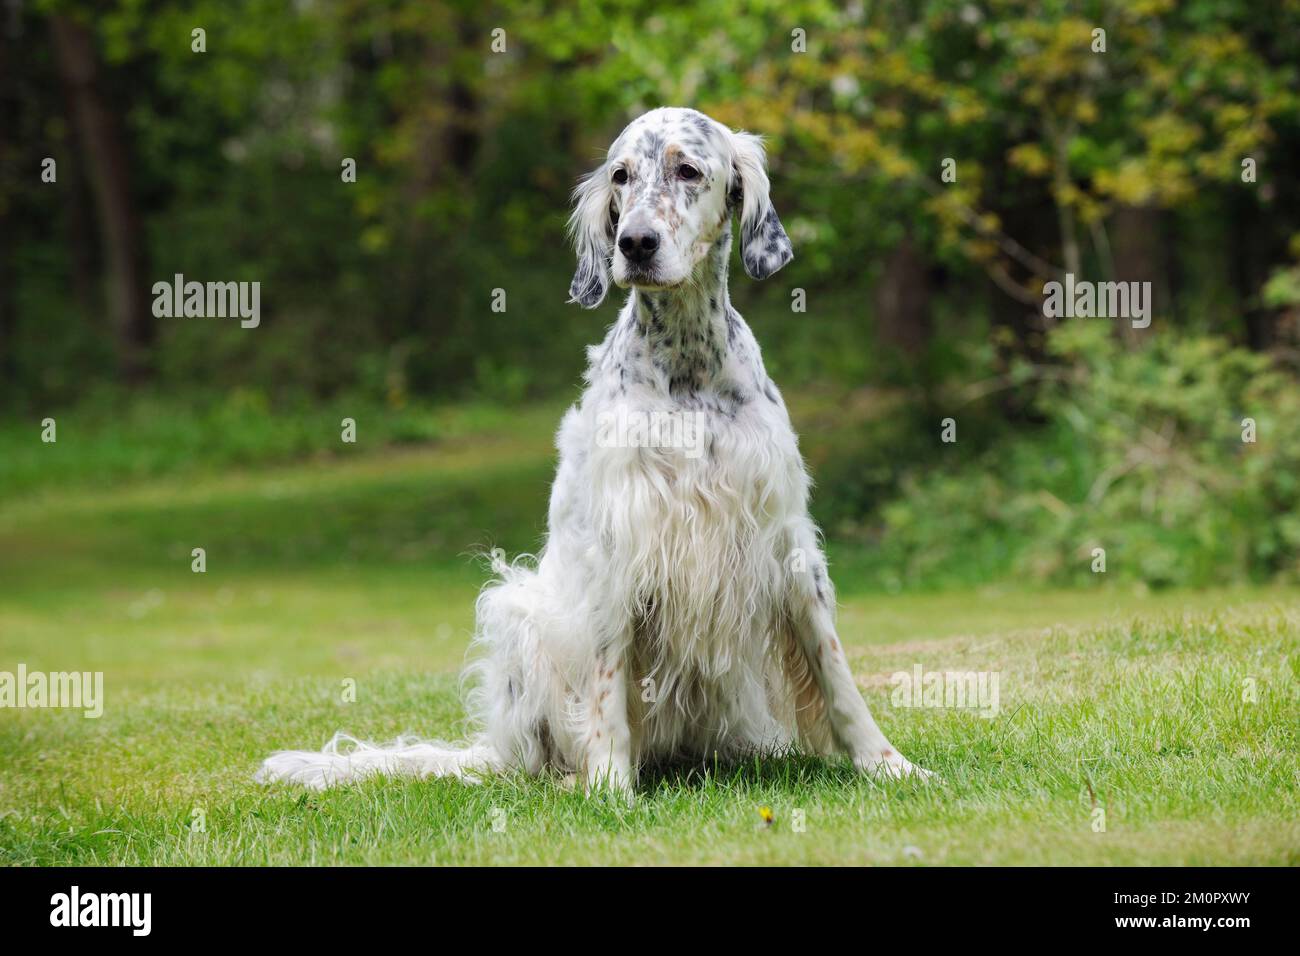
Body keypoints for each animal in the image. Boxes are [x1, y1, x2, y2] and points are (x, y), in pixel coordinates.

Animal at [256, 106, 925, 790]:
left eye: (689, 170)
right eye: (621, 176)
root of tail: (495, 749)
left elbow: (834, 667)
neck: (687, 368)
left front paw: (886, 762)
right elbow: (607, 677)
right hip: (519, 611)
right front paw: (608, 782)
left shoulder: (784, 533)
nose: (635, 243)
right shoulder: (620, 541)